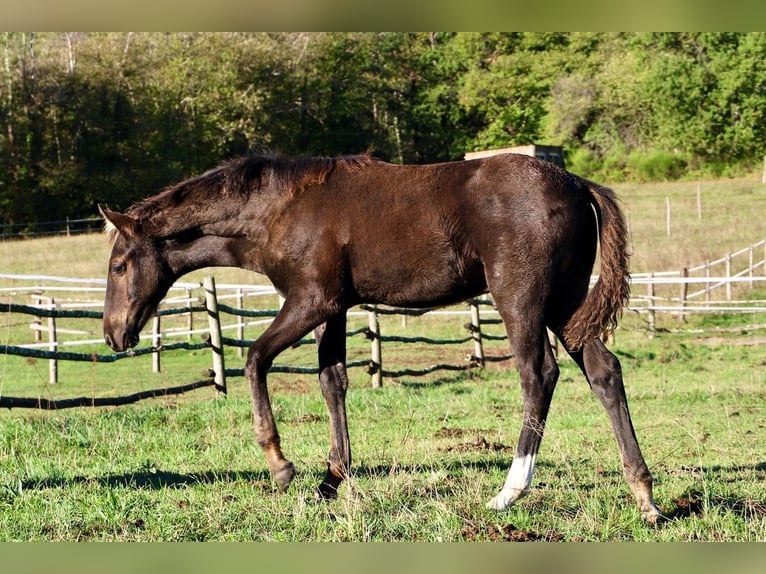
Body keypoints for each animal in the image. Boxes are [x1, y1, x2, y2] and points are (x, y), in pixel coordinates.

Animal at [100, 152, 664, 520]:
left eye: (120, 264)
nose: (113, 335)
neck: (281, 209)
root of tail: (577, 184)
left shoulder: (310, 301)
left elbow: (256, 358)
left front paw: (281, 466)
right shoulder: (333, 307)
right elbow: (332, 380)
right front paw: (331, 480)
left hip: (521, 299)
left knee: (538, 374)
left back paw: (510, 491)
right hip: (567, 304)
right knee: (603, 371)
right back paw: (645, 497)